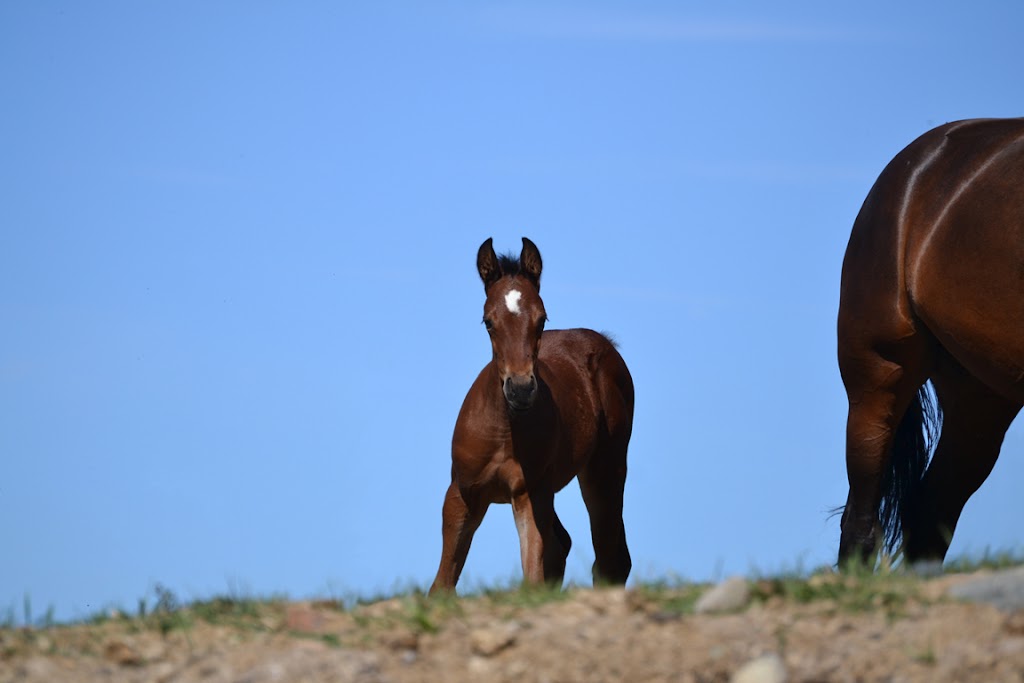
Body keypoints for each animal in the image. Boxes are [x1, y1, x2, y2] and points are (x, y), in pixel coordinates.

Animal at [430, 237, 634, 589]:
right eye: (488, 321)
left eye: (542, 319)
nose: (521, 389)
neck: (503, 429)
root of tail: (605, 343)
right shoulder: (461, 494)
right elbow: (441, 585)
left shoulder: (529, 494)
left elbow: (533, 573)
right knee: (564, 545)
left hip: (604, 468)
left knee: (610, 556)